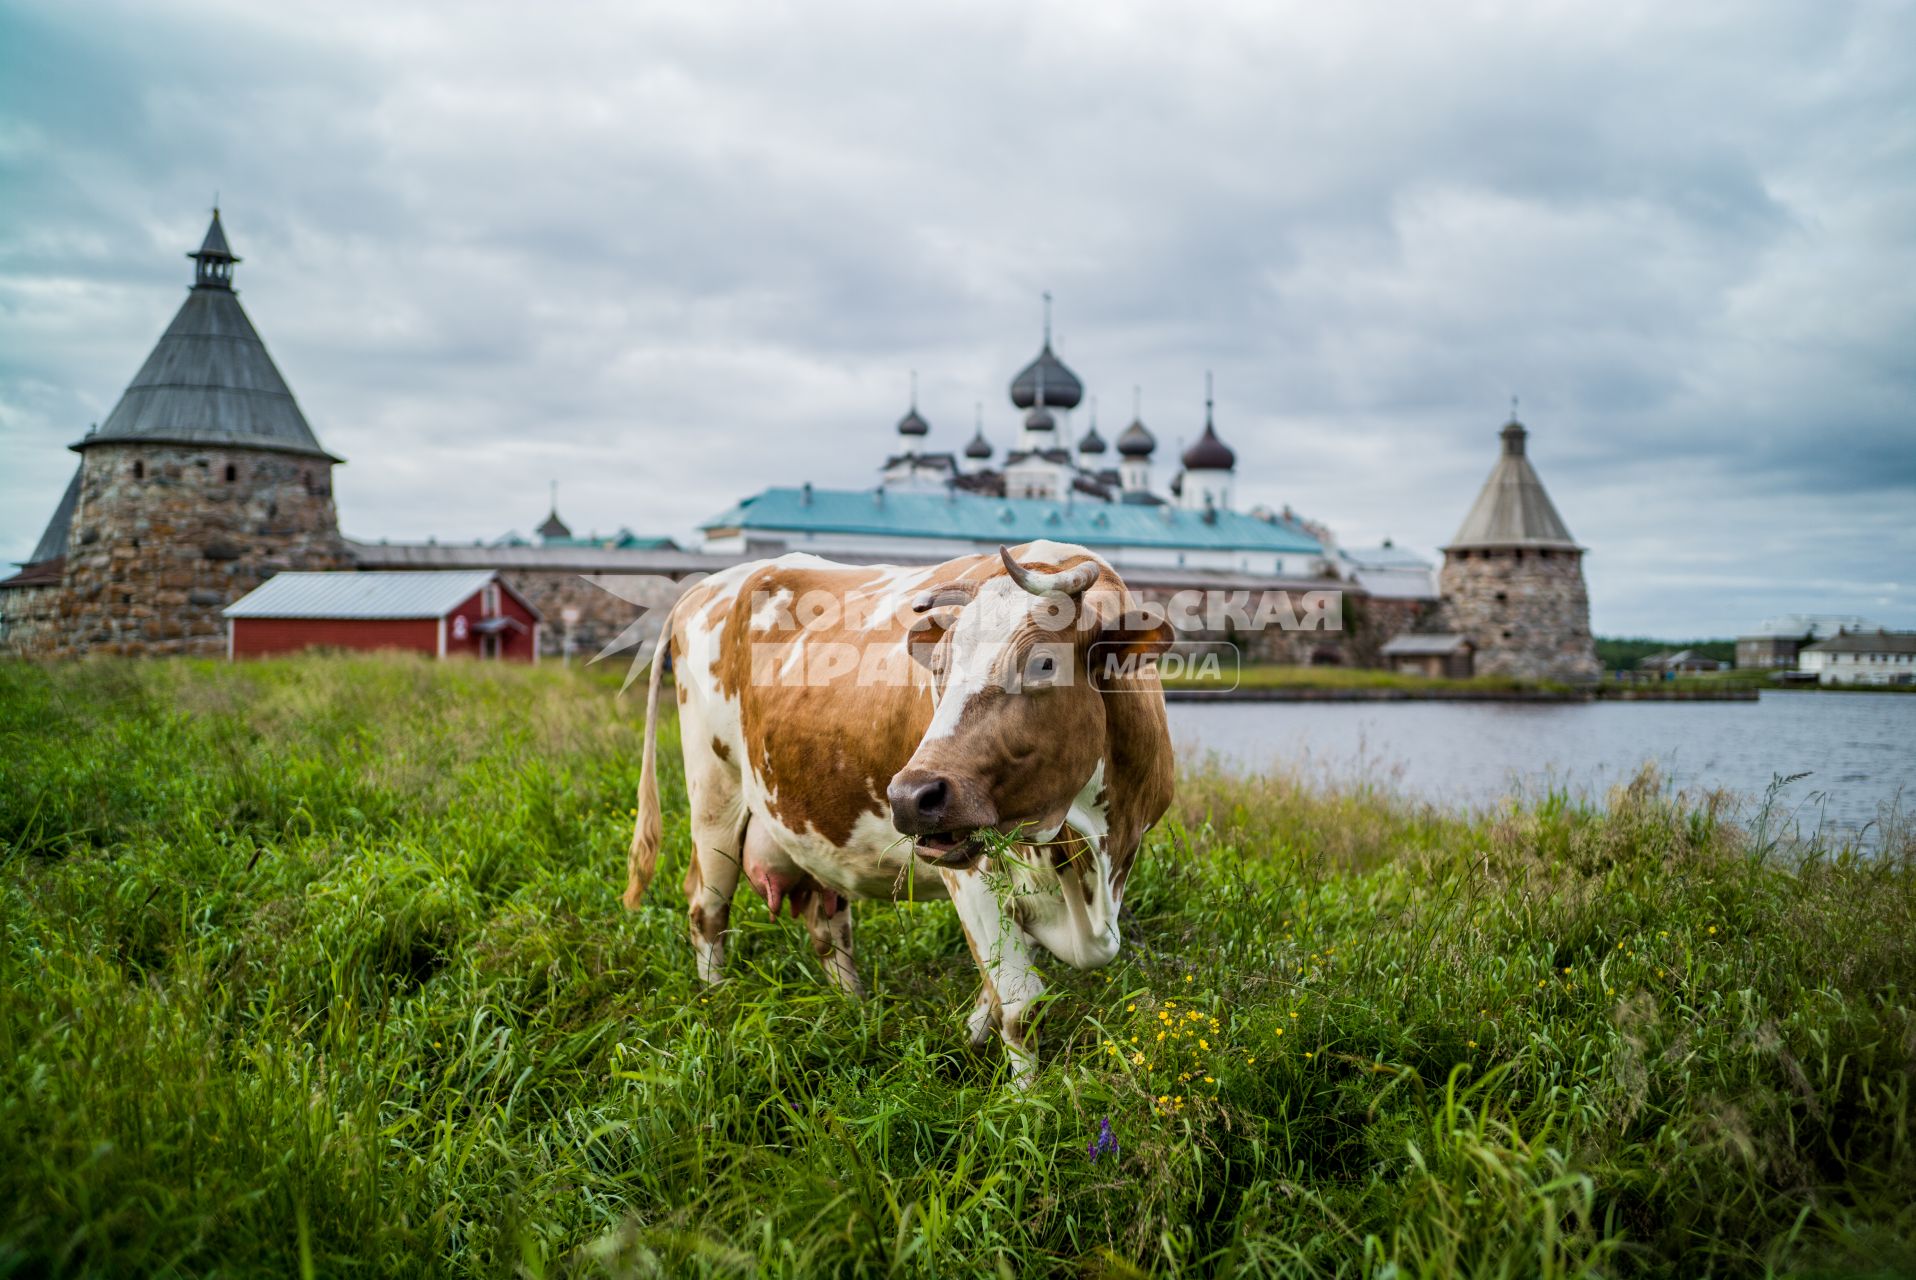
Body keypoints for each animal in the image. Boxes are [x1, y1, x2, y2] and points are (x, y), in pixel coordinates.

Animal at [620, 536, 1172, 1080]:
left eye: (1043, 663)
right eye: (939, 668)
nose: (908, 797)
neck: (1088, 853)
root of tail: (707, 586)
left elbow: (996, 994)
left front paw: (966, 1035)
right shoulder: (971, 869)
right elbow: (1020, 1008)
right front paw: (1025, 1098)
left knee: (827, 924)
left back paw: (854, 1011)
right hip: (714, 796)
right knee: (707, 908)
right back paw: (715, 1002)